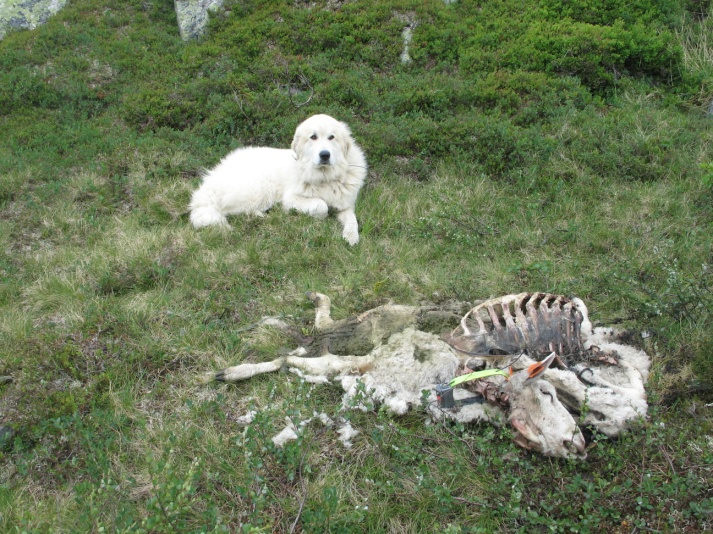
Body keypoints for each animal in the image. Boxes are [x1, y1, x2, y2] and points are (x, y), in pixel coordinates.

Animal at [189, 116, 368, 246]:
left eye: (332, 137)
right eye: (313, 137)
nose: (325, 155)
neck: (325, 178)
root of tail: (213, 176)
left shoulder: (345, 206)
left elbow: (352, 220)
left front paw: (351, 236)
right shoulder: (290, 199)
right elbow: (321, 206)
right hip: (258, 190)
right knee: (228, 211)